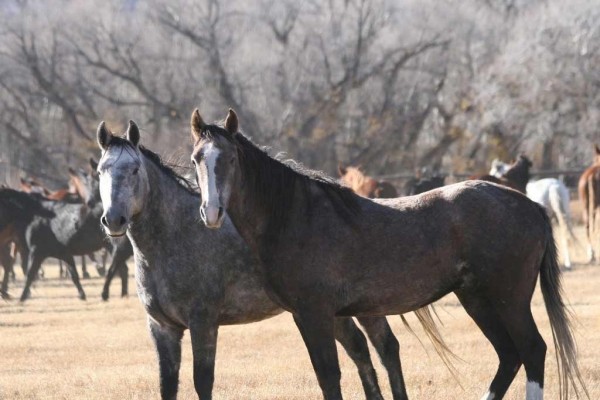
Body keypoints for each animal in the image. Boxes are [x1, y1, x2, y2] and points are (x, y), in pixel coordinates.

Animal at [95, 120, 412, 400]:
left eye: (134, 169)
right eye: (100, 171)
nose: (113, 220)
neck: (175, 236)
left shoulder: (203, 323)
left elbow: (202, 382)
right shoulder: (163, 329)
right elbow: (167, 386)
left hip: (364, 307)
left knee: (386, 347)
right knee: (358, 348)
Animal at [189, 108, 584, 400]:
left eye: (230, 159)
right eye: (196, 159)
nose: (211, 213)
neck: (296, 216)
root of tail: (530, 204)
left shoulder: (315, 314)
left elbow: (329, 376)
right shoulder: (322, 316)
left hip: (509, 299)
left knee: (532, 351)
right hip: (477, 299)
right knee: (509, 356)